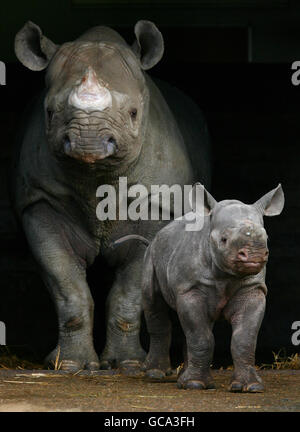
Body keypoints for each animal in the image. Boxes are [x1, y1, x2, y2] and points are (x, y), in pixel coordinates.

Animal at [136, 182, 284, 392]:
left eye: (266, 238)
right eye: (224, 239)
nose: (255, 255)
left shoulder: (252, 289)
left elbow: (244, 338)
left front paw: (251, 386)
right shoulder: (190, 289)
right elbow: (201, 336)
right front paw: (195, 384)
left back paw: (181, 376)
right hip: (151, 255)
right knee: (154, 304)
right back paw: (155, 374)